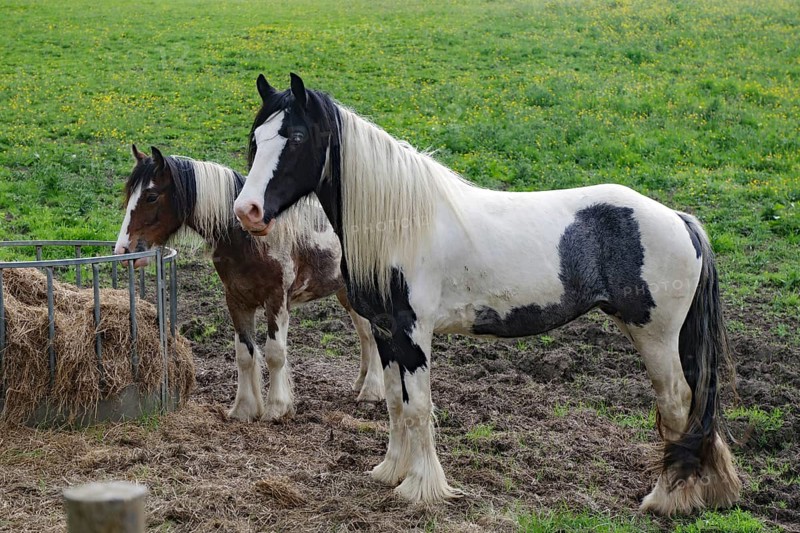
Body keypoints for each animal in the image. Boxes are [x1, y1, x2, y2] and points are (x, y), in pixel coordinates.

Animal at [114, 144, 385, 422]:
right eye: (129, 193)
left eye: (151, 196)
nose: (123, 250)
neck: (251, 238)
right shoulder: (236, 299)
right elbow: (244, 354)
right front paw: (244, 408)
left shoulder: (276, 301)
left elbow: (275, 354)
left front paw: (276, 408)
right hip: (346, 293)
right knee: (365, 333)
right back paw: (361, 383)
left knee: (374, 334)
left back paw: (371, 391)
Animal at [232, 73, 741, 515]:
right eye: (257, 137)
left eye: (297, 137)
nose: (247, 211)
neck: (402, 224)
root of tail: (679, 219)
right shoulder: (384, 332)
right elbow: (395, 403)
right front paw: (391, 471)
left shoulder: (413, 334)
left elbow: (418, 407)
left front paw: (421, 488)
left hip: (655, 337)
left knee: (676, 406)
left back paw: (666, 499)